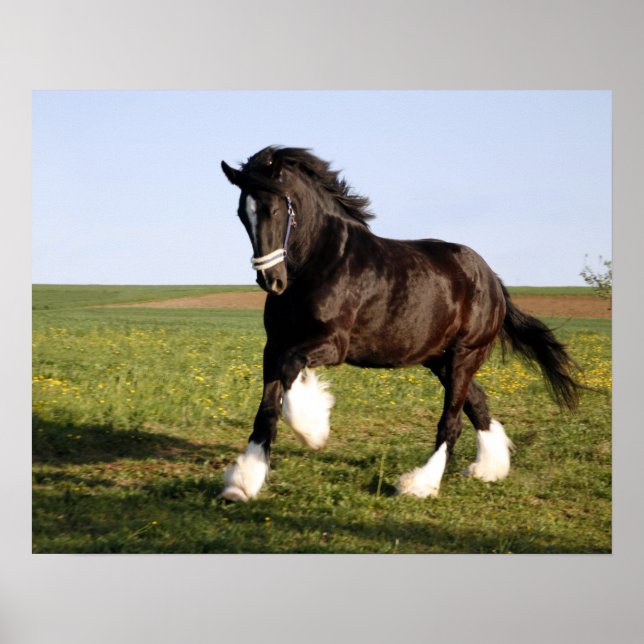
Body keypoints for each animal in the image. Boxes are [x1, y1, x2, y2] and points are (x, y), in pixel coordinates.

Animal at [219, 146, 580, 502]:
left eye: (273, 209)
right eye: (242, 213)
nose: (271, 280)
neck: (320, 262)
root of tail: (492, 280)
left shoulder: (333, 344)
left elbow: (290, 369)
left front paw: (314, 430)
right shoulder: (275, 344)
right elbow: (267, 409)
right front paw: (241, 483)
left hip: (465, 354)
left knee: (452, 421)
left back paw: (420, 484)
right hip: (440, 360)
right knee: (477, 404)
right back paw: (489, 468)